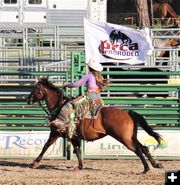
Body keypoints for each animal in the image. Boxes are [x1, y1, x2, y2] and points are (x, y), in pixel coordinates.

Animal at [26, 76, 163, 173]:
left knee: (137, 150)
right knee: (144, 148)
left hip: (124, 138)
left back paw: (146, 169)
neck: (59, 106)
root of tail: (128, 112)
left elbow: (45, 146)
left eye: (36, 88)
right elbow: (77, 150)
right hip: (131, 137)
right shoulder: (73, 136)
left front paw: (34, 163)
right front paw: (80, 167)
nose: (27, 99)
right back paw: (156, 164)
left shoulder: (55, 132)